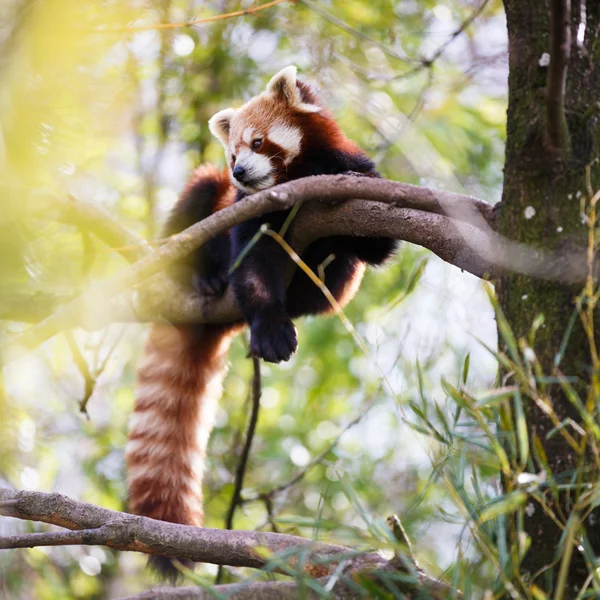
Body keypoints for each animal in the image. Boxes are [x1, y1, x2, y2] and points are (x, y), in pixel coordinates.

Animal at [125, 65, 398, 576]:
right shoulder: (250, 212)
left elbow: (376, 243)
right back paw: (204, 276)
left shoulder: (364, 185)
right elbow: (252, 266)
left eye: (257, 142)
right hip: (199, 211)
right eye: (233, 152)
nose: (238, 170)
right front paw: (271, 330)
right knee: (199, 195)